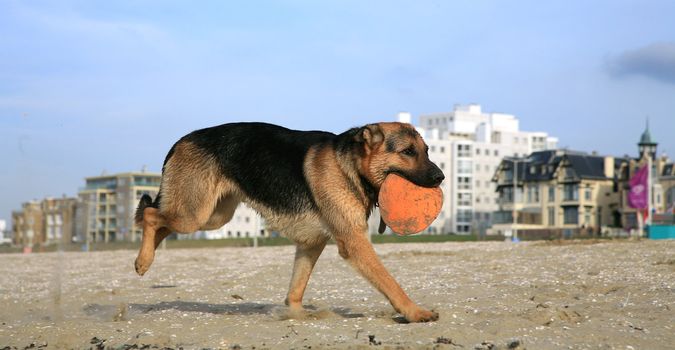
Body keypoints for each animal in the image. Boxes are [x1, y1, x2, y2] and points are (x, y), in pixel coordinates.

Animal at [135, 122, 446, 322]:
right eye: (408, 152)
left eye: (427, 150)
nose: (441, 177)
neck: (350, 166)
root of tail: (180, 141)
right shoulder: (354, 242)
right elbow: (389, 281)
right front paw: (414, 312)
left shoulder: (312, 243)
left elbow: (297, 286)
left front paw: (296, 314)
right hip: (194, 215)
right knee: (150, 214)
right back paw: (143, 261)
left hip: (212, 216)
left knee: (159, 221)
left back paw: (145, 258)